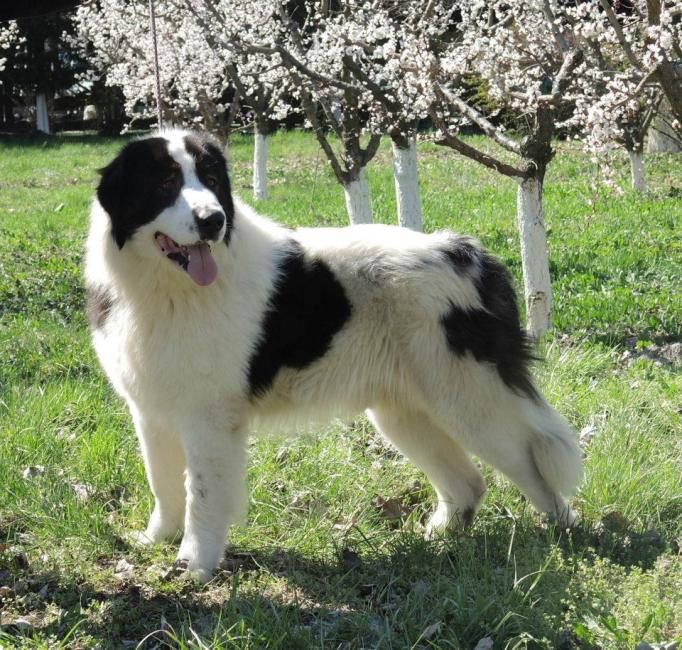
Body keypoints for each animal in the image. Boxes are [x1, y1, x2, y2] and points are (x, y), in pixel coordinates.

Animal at [85, 129, 580, 580]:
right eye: (166, 183)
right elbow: (164, 483)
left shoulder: (208, 419)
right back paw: (441, 536)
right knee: (469, 483)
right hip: (406, 413)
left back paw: (559, 535)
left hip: (471, 403)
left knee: (533, 465)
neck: (167, 289)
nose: (213, 220)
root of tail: (471, 254)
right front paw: (157, 539)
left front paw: (194, 566)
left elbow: (203, 495)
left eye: (209, 179)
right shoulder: (151, 410)